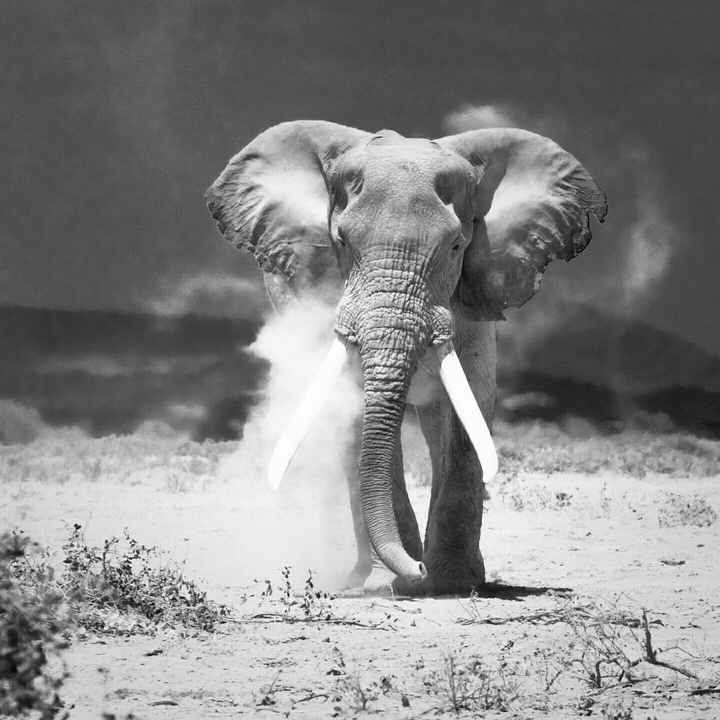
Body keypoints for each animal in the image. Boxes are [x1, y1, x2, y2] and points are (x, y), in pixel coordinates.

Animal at [206, 120, 606, 595]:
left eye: (456, 246)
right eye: (342, 241)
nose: (418, 571)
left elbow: (467, 410)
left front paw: (451, 582)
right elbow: (356, 414)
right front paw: (392, 582)